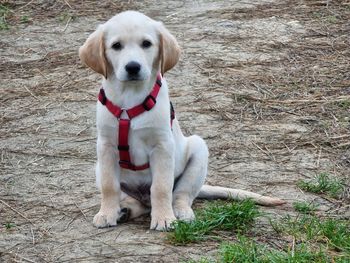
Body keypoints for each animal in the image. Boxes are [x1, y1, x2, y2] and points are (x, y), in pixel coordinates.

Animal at [79, 11, 284, 232]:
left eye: (146, 44)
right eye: (116, 45)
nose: (133, 67)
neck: (129, 99)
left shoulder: (162, 146)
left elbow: (161, 187)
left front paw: (164, 219)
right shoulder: (106, 146)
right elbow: (109, 186)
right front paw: (106, 213)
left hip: (198, 151)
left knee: (180, 195)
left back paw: (180, 213)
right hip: (98, 168)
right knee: (139, 201)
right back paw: (125, 210)